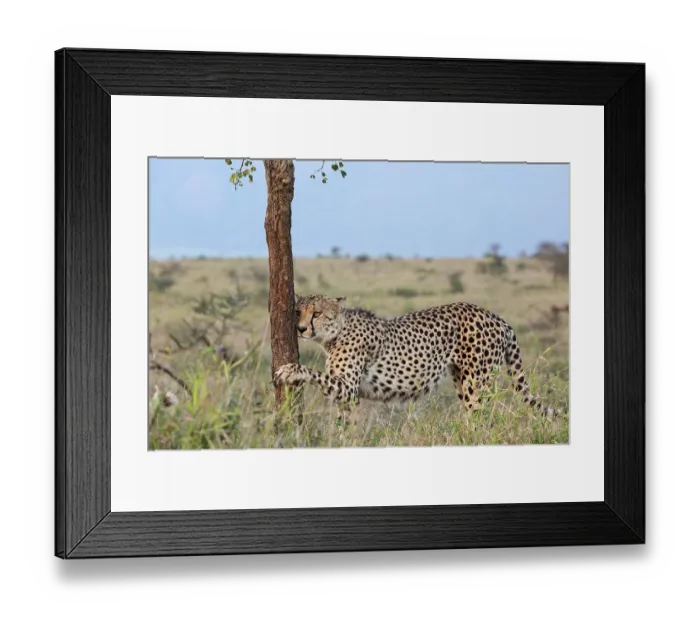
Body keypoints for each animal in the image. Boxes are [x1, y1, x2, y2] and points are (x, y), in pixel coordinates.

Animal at [273, 294, 561, 417]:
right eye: (297, 312)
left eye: (316, 313)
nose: (300, 329)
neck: (337, 332)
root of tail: (494, 316)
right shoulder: (348, 396)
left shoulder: (349, 388)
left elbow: (313, 373)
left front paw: (290, 369)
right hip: (462, 380)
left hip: (476, 383)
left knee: (484, 416)